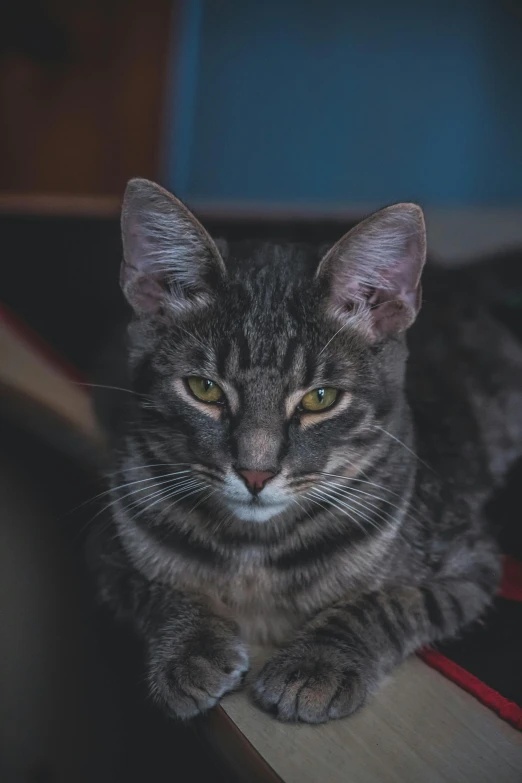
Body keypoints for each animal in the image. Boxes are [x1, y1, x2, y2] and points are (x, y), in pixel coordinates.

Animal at [90, 178, 522, 724]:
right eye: (204, 389)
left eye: (320, 398)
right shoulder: (107, 545)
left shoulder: (472, 562)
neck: (253, 553)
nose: (255, 473)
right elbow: (154, 588)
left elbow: (388, 602)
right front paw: (191, 645)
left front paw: (318, 662)